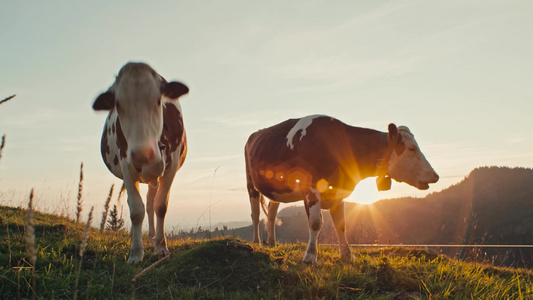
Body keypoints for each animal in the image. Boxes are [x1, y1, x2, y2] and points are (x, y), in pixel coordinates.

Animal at [92, 62, 188, 262]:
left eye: (158, 100)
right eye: (117, 105)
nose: (142, 154)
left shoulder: (172, 165)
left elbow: (161, 206)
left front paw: (161, 247)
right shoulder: (126, 164)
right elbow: (136, 210)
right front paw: (136, 252)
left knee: (151, 202)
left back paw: (152, 236)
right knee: (136, 203)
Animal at [244, 115, 436, 262]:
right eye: (411, 148)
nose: (435, 176)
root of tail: (254, 134)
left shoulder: (338, 191)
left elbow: (341, 225)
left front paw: (347, 255)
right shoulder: (312, 189)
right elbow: (315, 222)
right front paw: (310, 256)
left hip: (275, 189)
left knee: (271, 212)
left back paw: (272, 242)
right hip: (251, 184)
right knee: (256, 215)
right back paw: (257, 242)